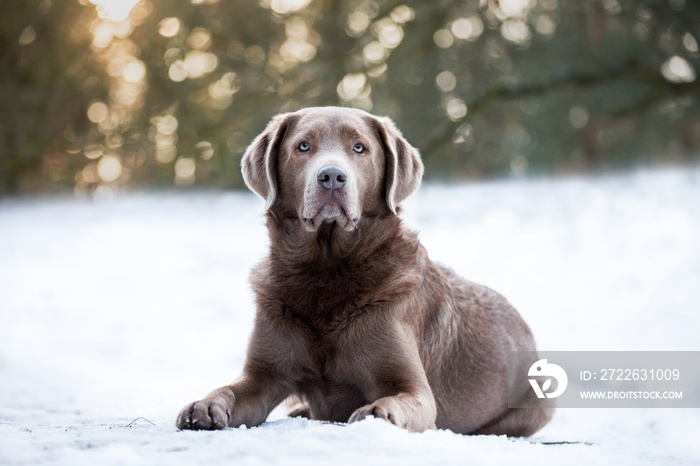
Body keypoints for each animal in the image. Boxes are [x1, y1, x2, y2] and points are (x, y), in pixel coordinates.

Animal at [175, 107, 552, 436]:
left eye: (359, 147)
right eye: (303, 146)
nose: (331, 176)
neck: (325, 272)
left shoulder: (413, 388)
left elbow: (399, 399)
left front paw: (376, 411)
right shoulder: (263, 374)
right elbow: (231, 388)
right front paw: (204, 405)